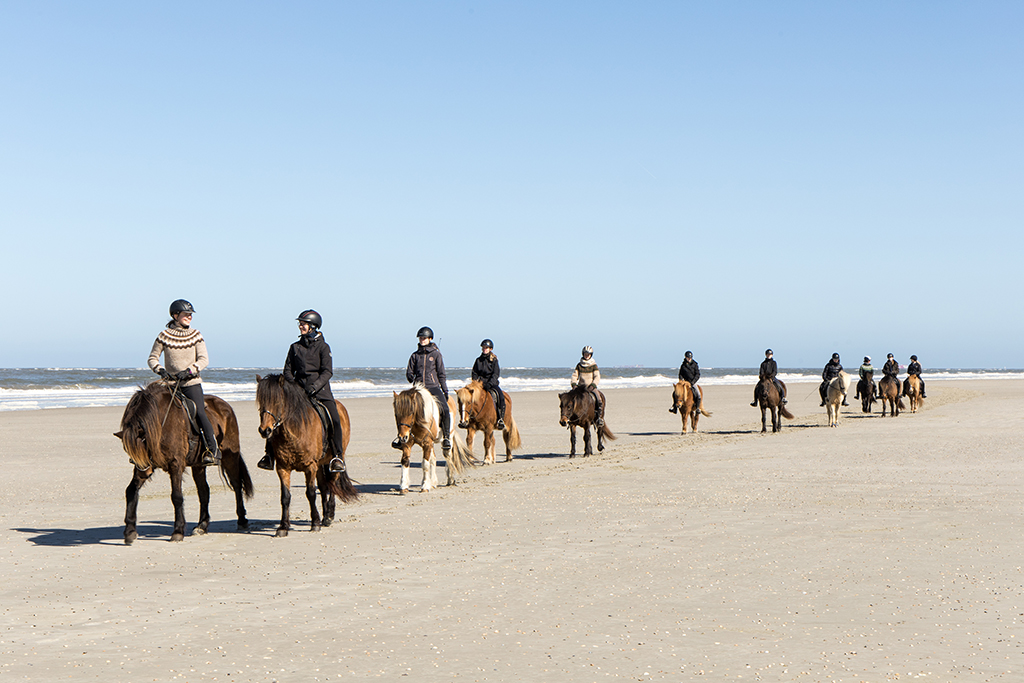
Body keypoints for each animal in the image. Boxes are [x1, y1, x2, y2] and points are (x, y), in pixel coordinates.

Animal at [114, 381, 254, 544]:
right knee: (204, 491)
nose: (144, 473)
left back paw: (242, 520)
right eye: (128, 451)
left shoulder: (176, 464)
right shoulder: (144, 467)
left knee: (237, 485)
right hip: (198, 465)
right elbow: (131, 491)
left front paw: (178, 532)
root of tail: (225, 406)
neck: (161, 420)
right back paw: (202, 526)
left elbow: (176, 496)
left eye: (145, 445)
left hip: (230, 457)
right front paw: (130, 531)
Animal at [255, 374, 358, 537]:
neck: (293, 432)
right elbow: (285, 497)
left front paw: (315, 523)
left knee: (333, 484)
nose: (265, 430)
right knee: (324, 486)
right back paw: (325, 515)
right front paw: (283, 527)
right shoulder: (283, 468)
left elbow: (310, 493)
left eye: (277, 401)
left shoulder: (310, 467)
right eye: (261, 401)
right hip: (321, 463)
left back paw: (329, 516)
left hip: (334, 460)